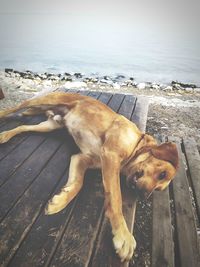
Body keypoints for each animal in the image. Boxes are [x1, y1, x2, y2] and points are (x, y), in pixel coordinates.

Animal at [0, 92, 178, 262]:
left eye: (159, 188)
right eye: (162, 174)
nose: (142, 196)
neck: (136, 146)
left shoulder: (81, 159)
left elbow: (77, 184)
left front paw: (60, 200)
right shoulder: (111, 156)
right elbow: (116, 198)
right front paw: (123, 234)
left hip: (49, 126)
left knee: (23, 126)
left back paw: (5, 135)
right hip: (44, 100)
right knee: (14, 108)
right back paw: (3, 115)